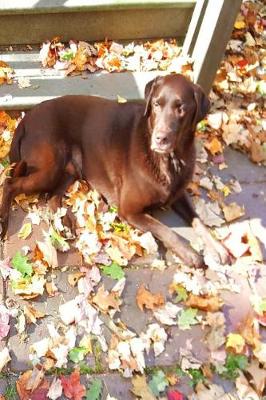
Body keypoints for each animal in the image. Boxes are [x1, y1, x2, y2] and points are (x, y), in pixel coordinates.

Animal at [0, 73, 229, 268]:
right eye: (156, 104)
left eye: (181, 108)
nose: (160, 138)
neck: (169, 161)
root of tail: (26, 118)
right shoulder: (129, 210)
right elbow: (166, 230)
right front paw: (190, 254)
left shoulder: (178, 194)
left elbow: (198, 220)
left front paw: (218, 247)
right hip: (50, 167)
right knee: (10, 184)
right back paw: (4, 221)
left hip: (69, 169)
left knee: (52, 197)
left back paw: (63, 225)